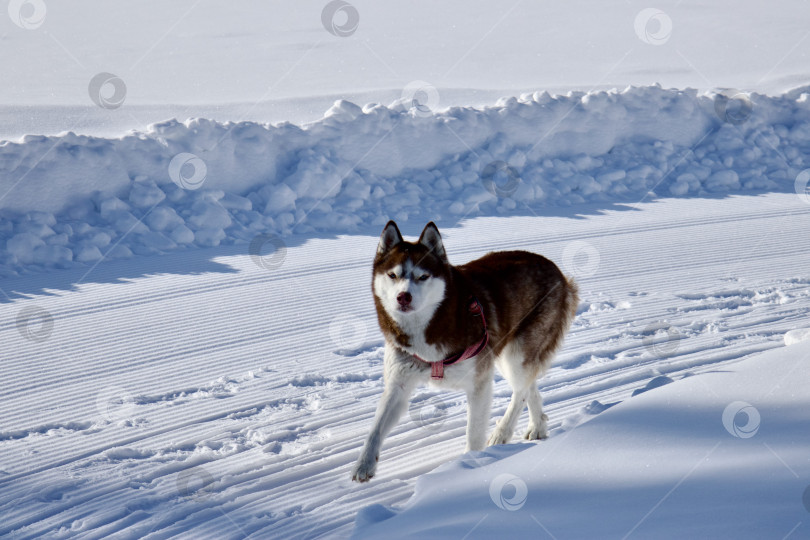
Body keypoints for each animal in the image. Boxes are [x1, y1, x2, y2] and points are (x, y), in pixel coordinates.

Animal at [350, 221, 576, 484]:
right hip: (504, 354)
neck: (429, 326)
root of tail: (555, 269)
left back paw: (502, 433)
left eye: (423, 276)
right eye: (393, 275)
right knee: (530, 386)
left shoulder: (479, 382)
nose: (403, 297)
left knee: (520, 391)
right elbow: (376, 428)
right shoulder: (399, 382)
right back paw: (538, 426)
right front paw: (363, 464)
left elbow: (474, 433)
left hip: (515, 355)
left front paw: (469, 467)